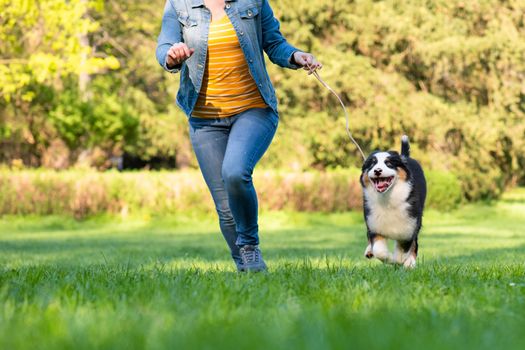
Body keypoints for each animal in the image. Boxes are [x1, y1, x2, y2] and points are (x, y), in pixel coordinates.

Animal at [358, 136, 428, 268]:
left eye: (389, 163)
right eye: (372, 164)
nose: (377, 170)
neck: (387, 199)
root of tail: (404, 156)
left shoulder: (408, 228)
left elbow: (403, 251)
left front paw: (402, 262)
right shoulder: (374, 224)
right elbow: (379, 250)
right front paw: (389, 259)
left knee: (415, 243)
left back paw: (410, 262)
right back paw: (369, 251)